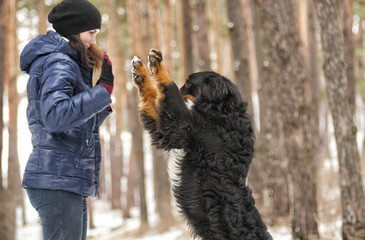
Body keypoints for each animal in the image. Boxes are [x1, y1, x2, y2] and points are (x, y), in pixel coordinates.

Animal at [131, 49, 270, 240]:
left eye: (189, 82)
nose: (182, 89)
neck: (221, 111)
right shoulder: (169, 129)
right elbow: (152, 95)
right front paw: (139, 72)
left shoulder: (181, 125)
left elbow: (168, 88)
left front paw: (157, 63)